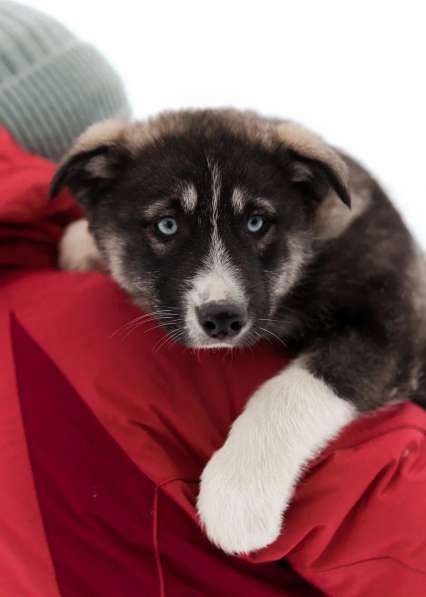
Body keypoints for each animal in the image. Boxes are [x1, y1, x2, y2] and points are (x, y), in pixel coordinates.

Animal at [50, 108, 426, 556]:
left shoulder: (390, 327)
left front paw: (239, 494)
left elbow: (290, 391)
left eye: (255, 223)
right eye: (167, 225)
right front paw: (78, 250)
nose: (222, 318)